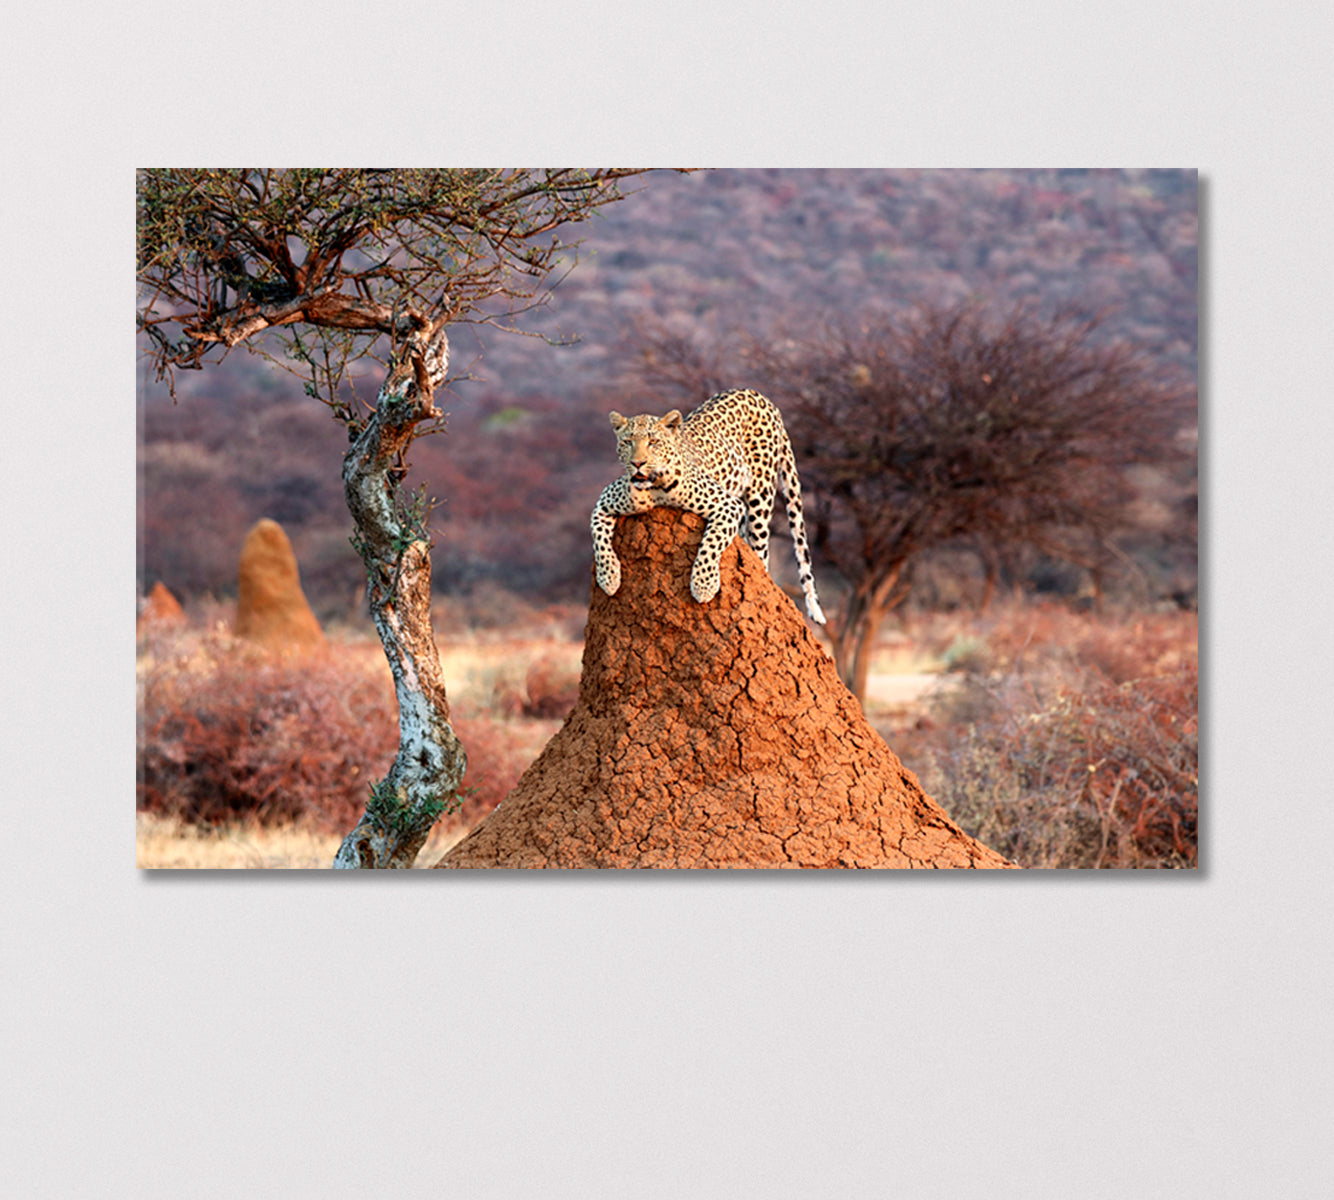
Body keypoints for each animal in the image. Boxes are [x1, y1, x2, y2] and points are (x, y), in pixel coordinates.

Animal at [592, 389, 821, 624]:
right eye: (628, 442)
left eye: (653, 441)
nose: (638, 463)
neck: (655, 487)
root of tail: (760, 396)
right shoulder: (603, 503)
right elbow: (599, 541)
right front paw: (608, 578)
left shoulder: (728, 505)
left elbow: (711, 543)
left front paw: (703, 587)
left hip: (761, 496)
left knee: (761, 553)